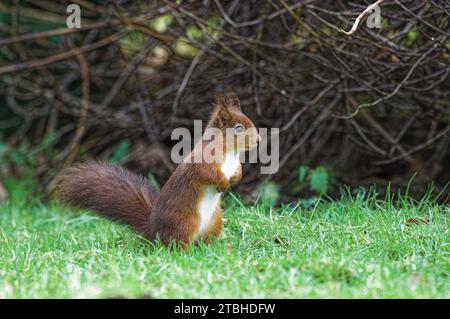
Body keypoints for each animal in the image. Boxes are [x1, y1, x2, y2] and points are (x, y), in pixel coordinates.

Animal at [55, 92, 260, 248]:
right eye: (239, 128)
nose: (258, 140)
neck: (231, 153)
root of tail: (153, 230)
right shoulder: (202, 161)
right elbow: (205, 174)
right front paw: (223, 183)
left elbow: (237, 170)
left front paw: (236, 177)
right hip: (185, 222)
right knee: (176, 244)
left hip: (214, 221)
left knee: (204, 241)